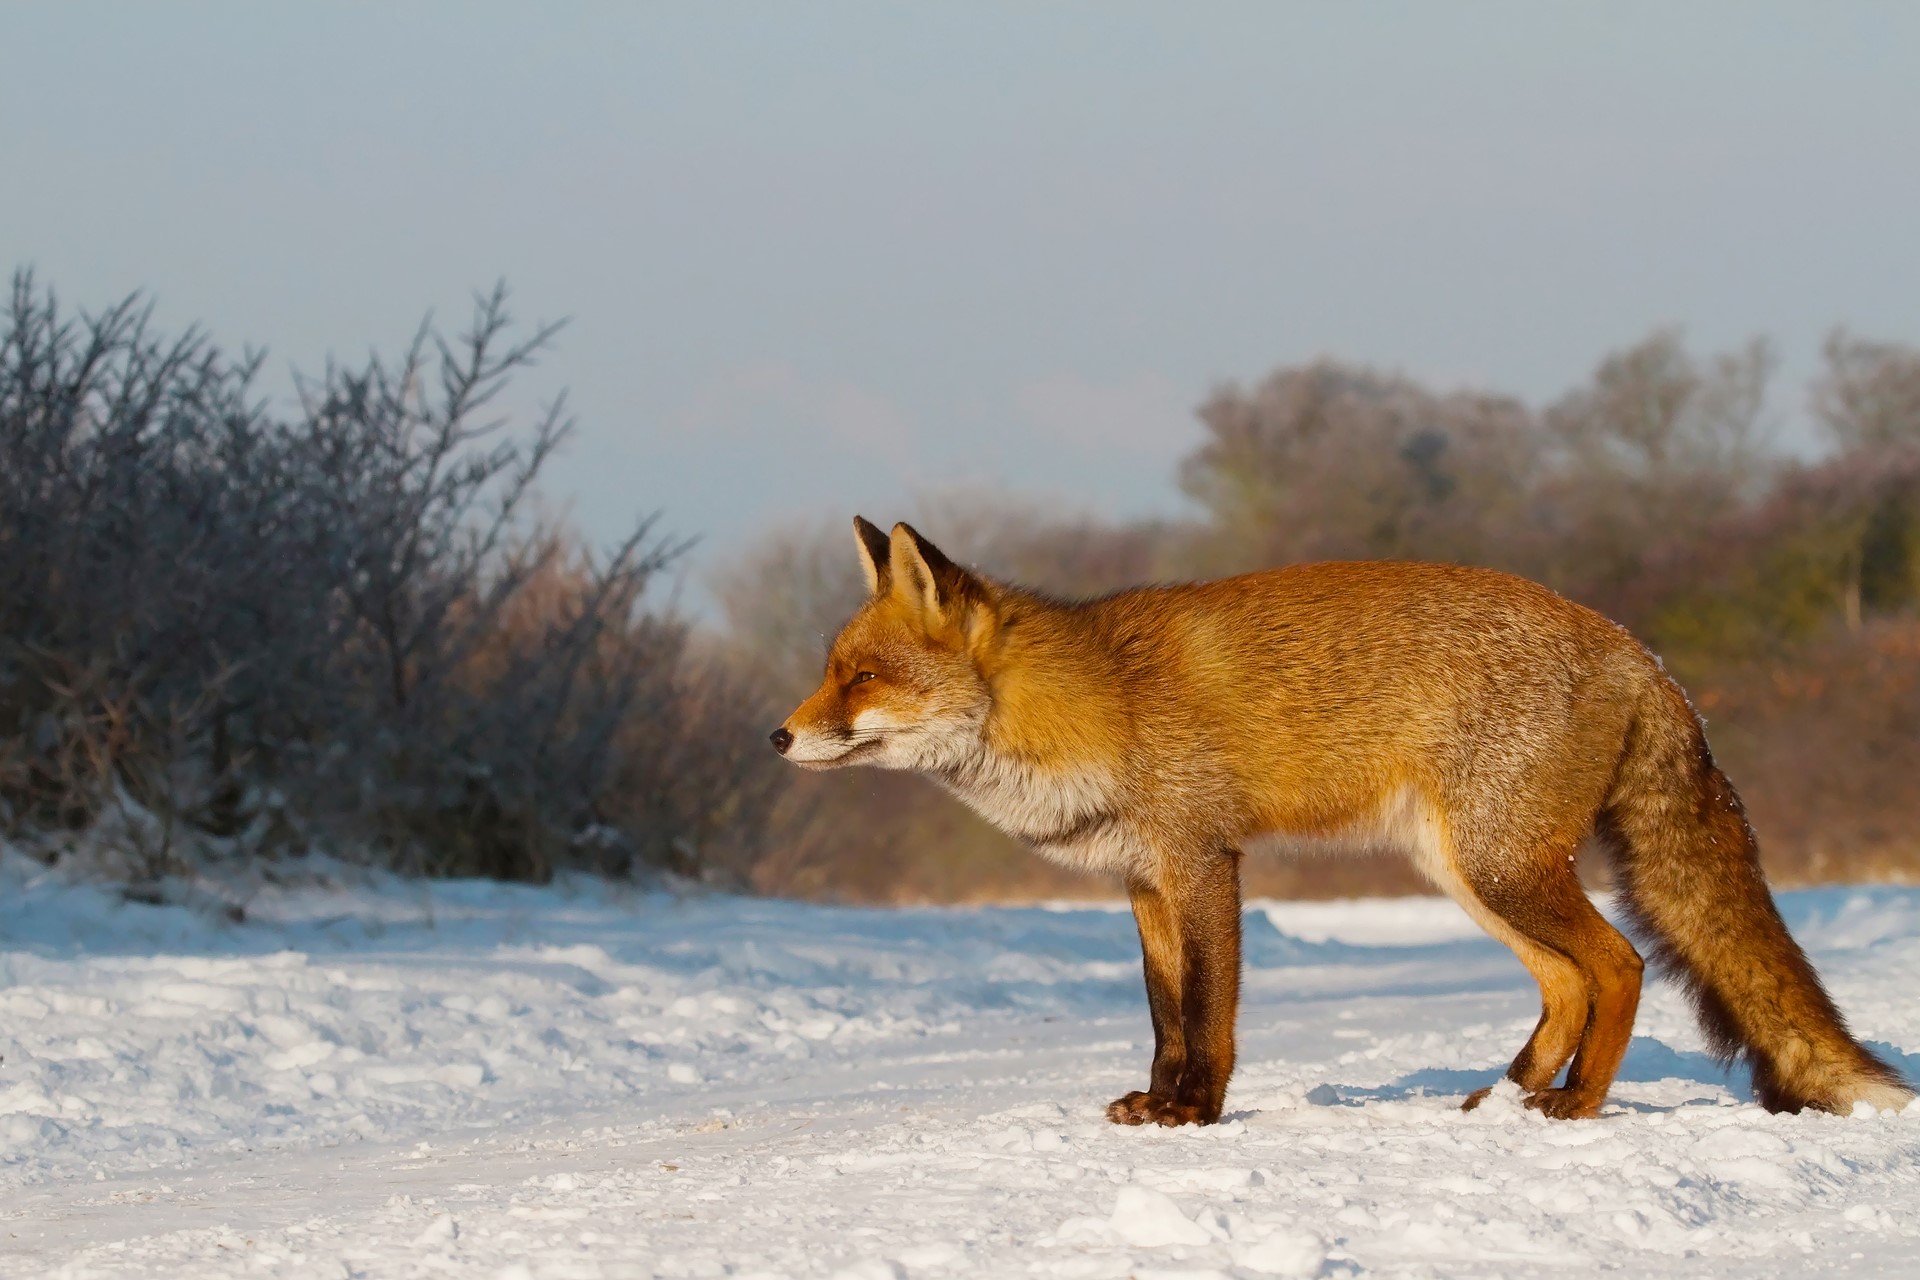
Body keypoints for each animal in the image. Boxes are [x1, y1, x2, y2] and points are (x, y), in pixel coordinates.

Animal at [770, 516, 1915, 1127]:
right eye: (830, 669)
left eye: (860, 677)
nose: (776, 736)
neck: (1090, 704)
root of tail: (1639, 648)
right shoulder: (1143, 881)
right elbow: (1163, 1013)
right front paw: (1157, 1104)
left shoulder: (1202, 859)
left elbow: (1210, 1015)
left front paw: (1195, 1114)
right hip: (1468, 872)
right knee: (1567, 981)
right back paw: (1500, 1099)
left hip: (1502, 869)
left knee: (1620, 965)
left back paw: (1572, 1105)